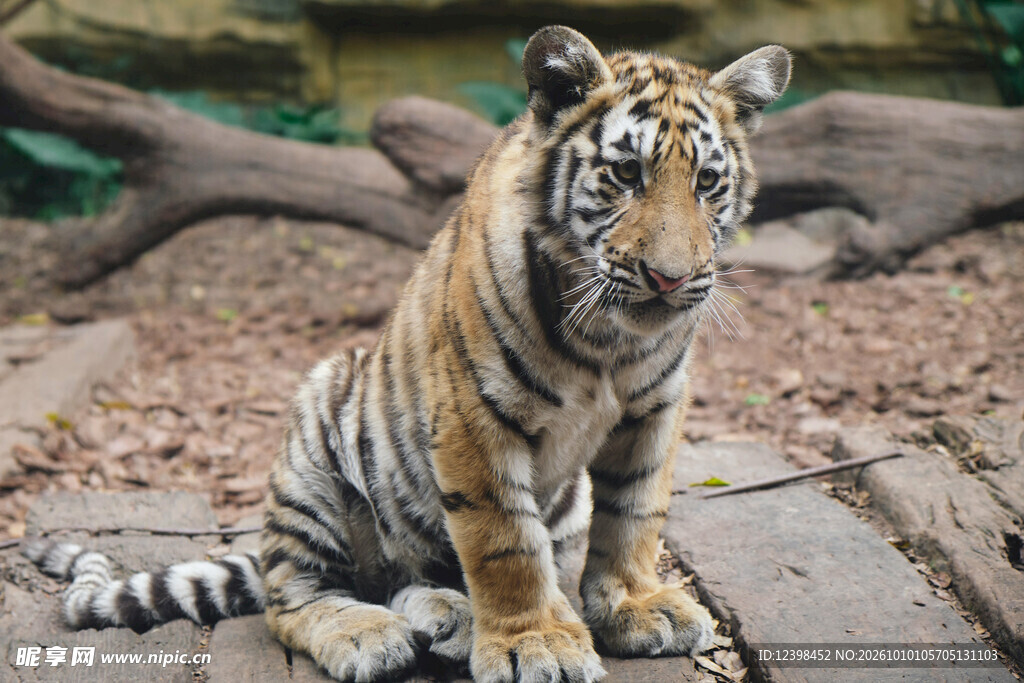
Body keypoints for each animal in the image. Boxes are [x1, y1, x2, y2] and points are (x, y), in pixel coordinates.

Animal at [24, 25, 790, 683]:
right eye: (626, 174)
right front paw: (535, 641)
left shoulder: (654, 409)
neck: (612, 337)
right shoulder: (476, 417)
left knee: (406, 578)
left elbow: (636, 513)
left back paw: (451, 617)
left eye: (707, 183)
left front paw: (632, 606)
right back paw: (374, 634)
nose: (670, 279)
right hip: (318, 432)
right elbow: (506, 543)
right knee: (295, 594)